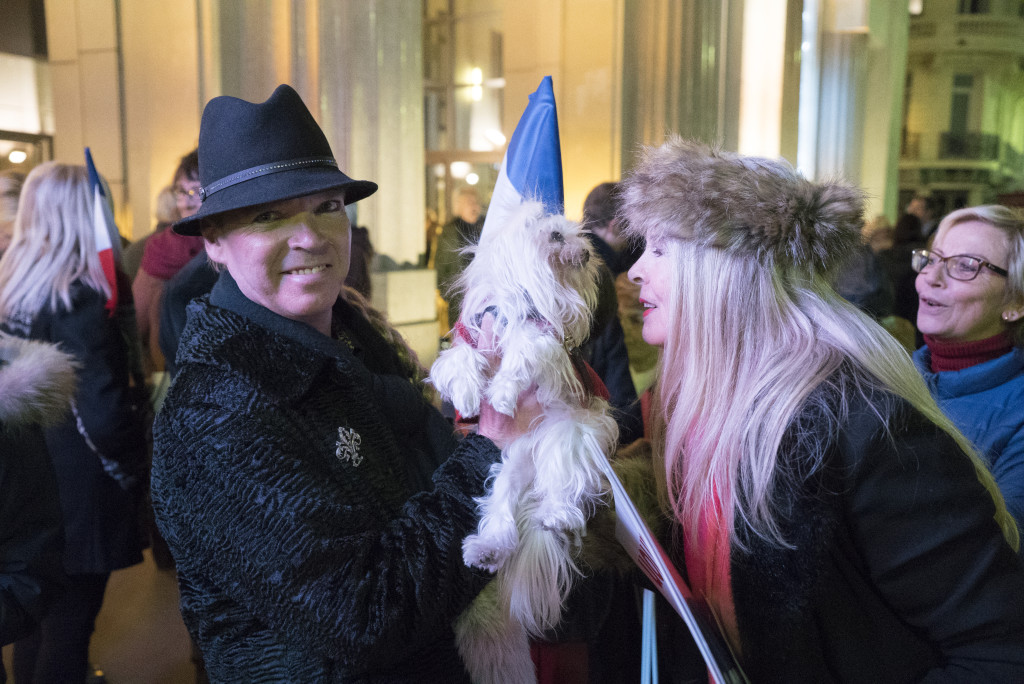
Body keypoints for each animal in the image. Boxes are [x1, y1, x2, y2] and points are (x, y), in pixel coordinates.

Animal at [430, 200, 614, 679]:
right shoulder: (470, 335)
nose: (588, 252)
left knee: (562, 488)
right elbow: (459, 359)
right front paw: (469, 392)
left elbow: (521, 351)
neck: (520, 300)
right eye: (557, 236)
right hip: (508, 468)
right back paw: (486, 549)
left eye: (582, 236)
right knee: (500, 513)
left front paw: (501, 392)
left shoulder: (543, 341)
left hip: (565, 438)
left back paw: (555, 515)